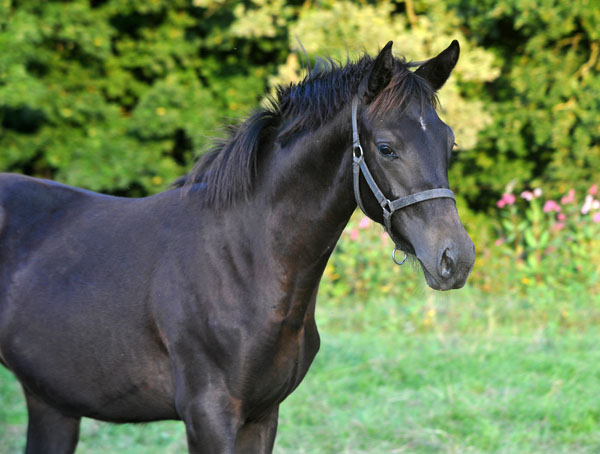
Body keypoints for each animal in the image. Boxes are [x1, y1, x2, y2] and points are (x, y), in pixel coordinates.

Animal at [0, 40, 474, 452]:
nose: (455, 258)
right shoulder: (209, 417)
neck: (242, 260)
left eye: (449, 143)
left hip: (53, 403)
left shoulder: (263, 416)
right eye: (386, 148)